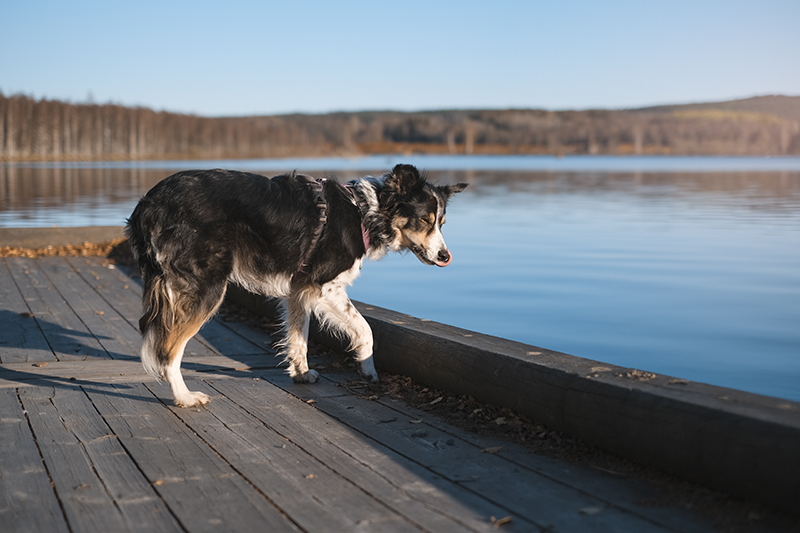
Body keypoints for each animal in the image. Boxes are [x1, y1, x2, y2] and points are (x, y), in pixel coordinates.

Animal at [126, 164, 468, 406]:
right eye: (424, 221)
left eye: (442, 223)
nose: (445, 256)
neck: (364, 211)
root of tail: (149, 203)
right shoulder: (324, 286)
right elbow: (365, 328)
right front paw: (368, 368)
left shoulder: (299, 290)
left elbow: (299, 337)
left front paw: (301, 373)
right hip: (207, 288)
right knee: (168, 349)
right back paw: (184, 397)